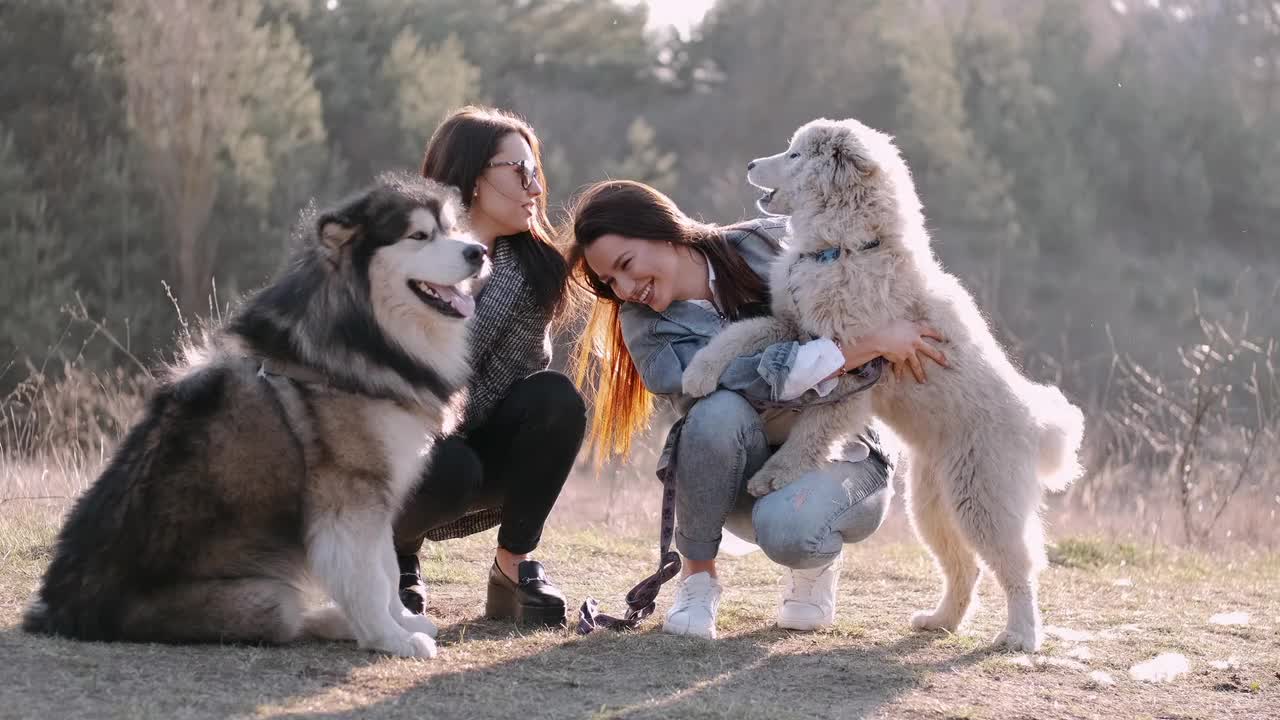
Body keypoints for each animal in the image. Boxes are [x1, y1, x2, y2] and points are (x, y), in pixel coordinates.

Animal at [686, 117, 1085, 650]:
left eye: (794, 155)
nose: (751, 164)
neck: (843, 250)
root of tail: (1036, 427)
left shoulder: (857, 372)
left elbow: (813, 430)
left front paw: (776, 474)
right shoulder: (794, 327)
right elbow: (743, 332)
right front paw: (700, 370)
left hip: (983, 500)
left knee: (1017, 568)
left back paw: (1020, 635)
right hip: (932, 506)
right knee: (965, 568)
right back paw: (940, 621)